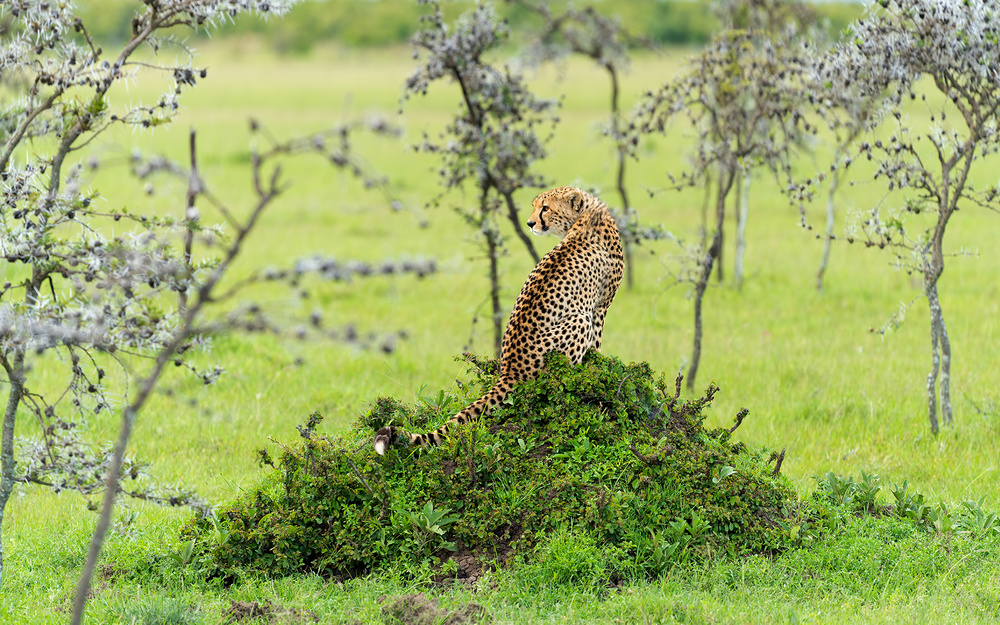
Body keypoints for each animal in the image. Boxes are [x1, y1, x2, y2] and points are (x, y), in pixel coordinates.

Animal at [374, 186, 624, 455]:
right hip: (578, 320)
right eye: (536, 206)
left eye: (545, 208)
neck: (585, 215)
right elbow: (597, 346)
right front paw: (597, 372)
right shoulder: (599, 309)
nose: (530, 223)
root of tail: (509, 370)